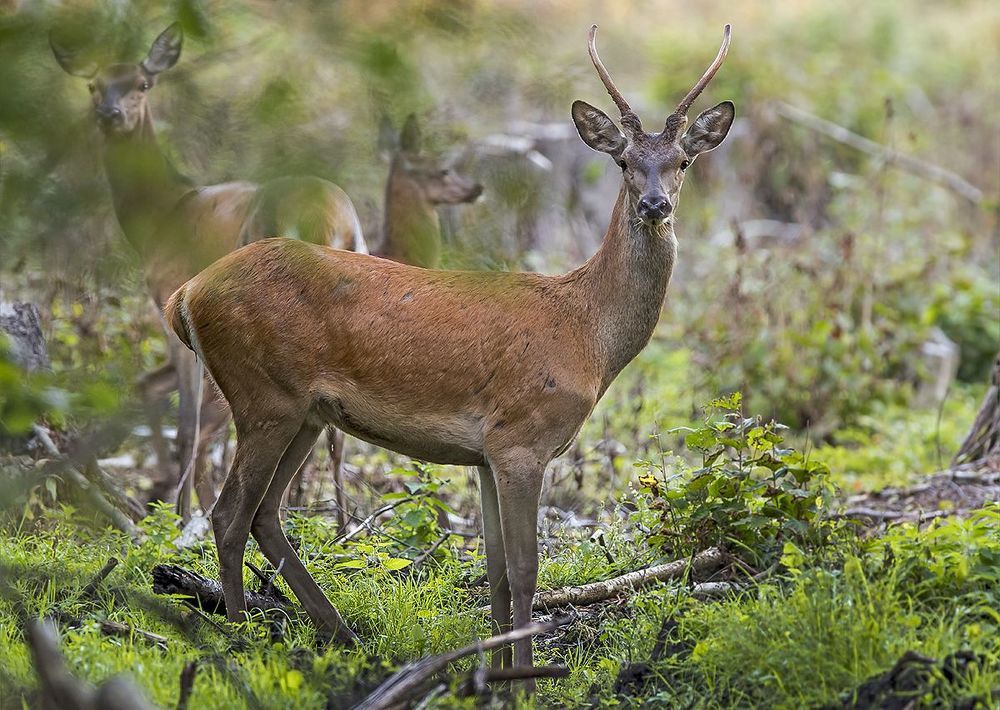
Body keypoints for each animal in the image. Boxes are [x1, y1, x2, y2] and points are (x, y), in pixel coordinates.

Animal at [50, 22, 368, 520]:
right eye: (93, 85)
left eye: (143, 83)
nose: (109, 113)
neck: (158, 219)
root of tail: (334, 219)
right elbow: (153, 390)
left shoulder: (168, 297)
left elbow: (186, 423)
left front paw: (179, 514)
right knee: (335, 434)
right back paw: (337, 521)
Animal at [164, 24, 734, 682]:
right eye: (623, 162)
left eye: (683, 161)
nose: (654, 205)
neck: (586, 332)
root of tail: (186, 295)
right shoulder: (521, 438)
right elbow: (525, 572)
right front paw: (524, 679)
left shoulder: (485, 454)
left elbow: (496, 574)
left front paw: (495, 670)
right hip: (263, 396)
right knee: (229, 514)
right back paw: (238, 639)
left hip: (303, 411)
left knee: (264, 514)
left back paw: (343, 636)